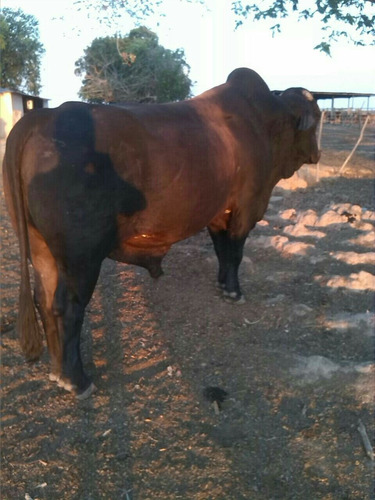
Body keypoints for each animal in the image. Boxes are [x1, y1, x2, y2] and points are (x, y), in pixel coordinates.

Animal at [2, 67, 320, 398]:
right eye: (316, 119)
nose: (317, 153)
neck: (264, 122)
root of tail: (45, 116)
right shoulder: (244, 210)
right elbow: (235, 254)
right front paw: (234, 291)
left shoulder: (218, 214)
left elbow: (222, 252)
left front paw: (222, 285)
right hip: (81, 258)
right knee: (67, 307)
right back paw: (76, 379)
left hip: (41, 249)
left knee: (44, 300)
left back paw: (57, 370)